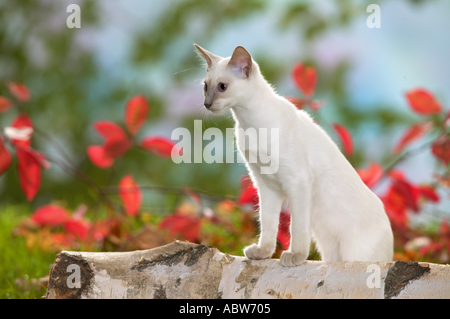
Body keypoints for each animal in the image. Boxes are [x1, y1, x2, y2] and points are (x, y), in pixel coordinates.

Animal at [195, 43, 392, 266]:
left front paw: (295, 256)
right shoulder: (266, 185)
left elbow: (296, 228)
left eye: (222, 87)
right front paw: (262, 253)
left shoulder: (297, 182)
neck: (249, 123)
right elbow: (268, 225)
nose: (207, 104)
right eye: (205, 86)